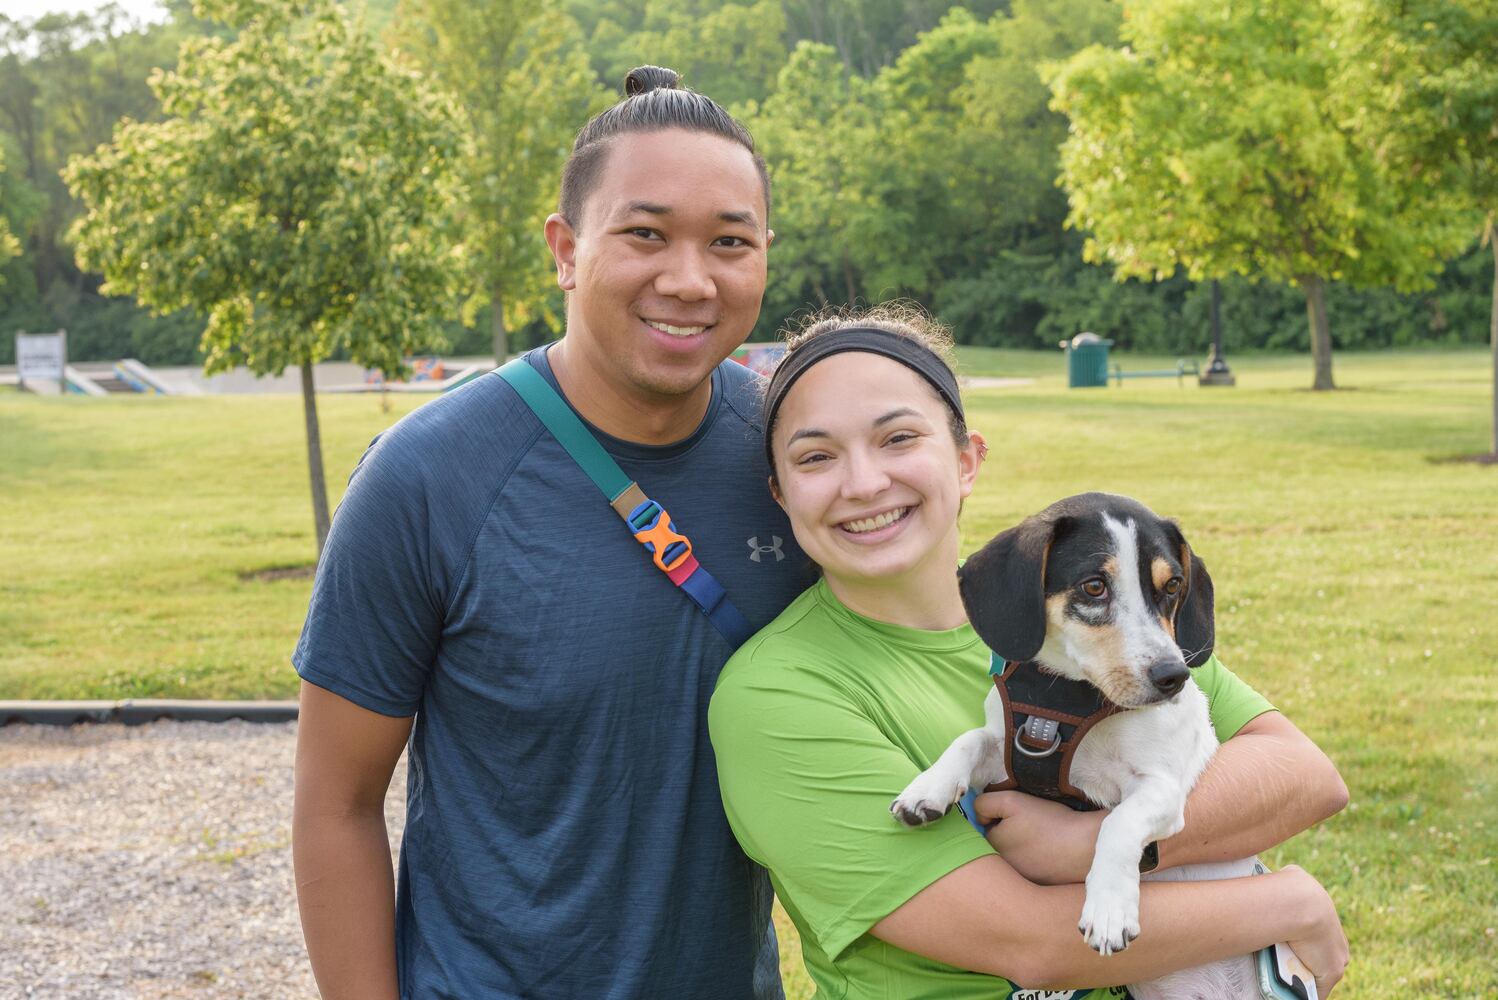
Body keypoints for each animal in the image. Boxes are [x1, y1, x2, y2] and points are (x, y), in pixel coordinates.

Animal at [886, 491, 1300, 999]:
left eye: (1173, 585)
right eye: (1094, 587)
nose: (1175, 676)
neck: (1069, 698)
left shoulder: (1161, 788)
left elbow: (1117, 824)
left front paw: (1108, 909)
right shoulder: (1006, 752)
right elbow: (968, 739)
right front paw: (927, 788)